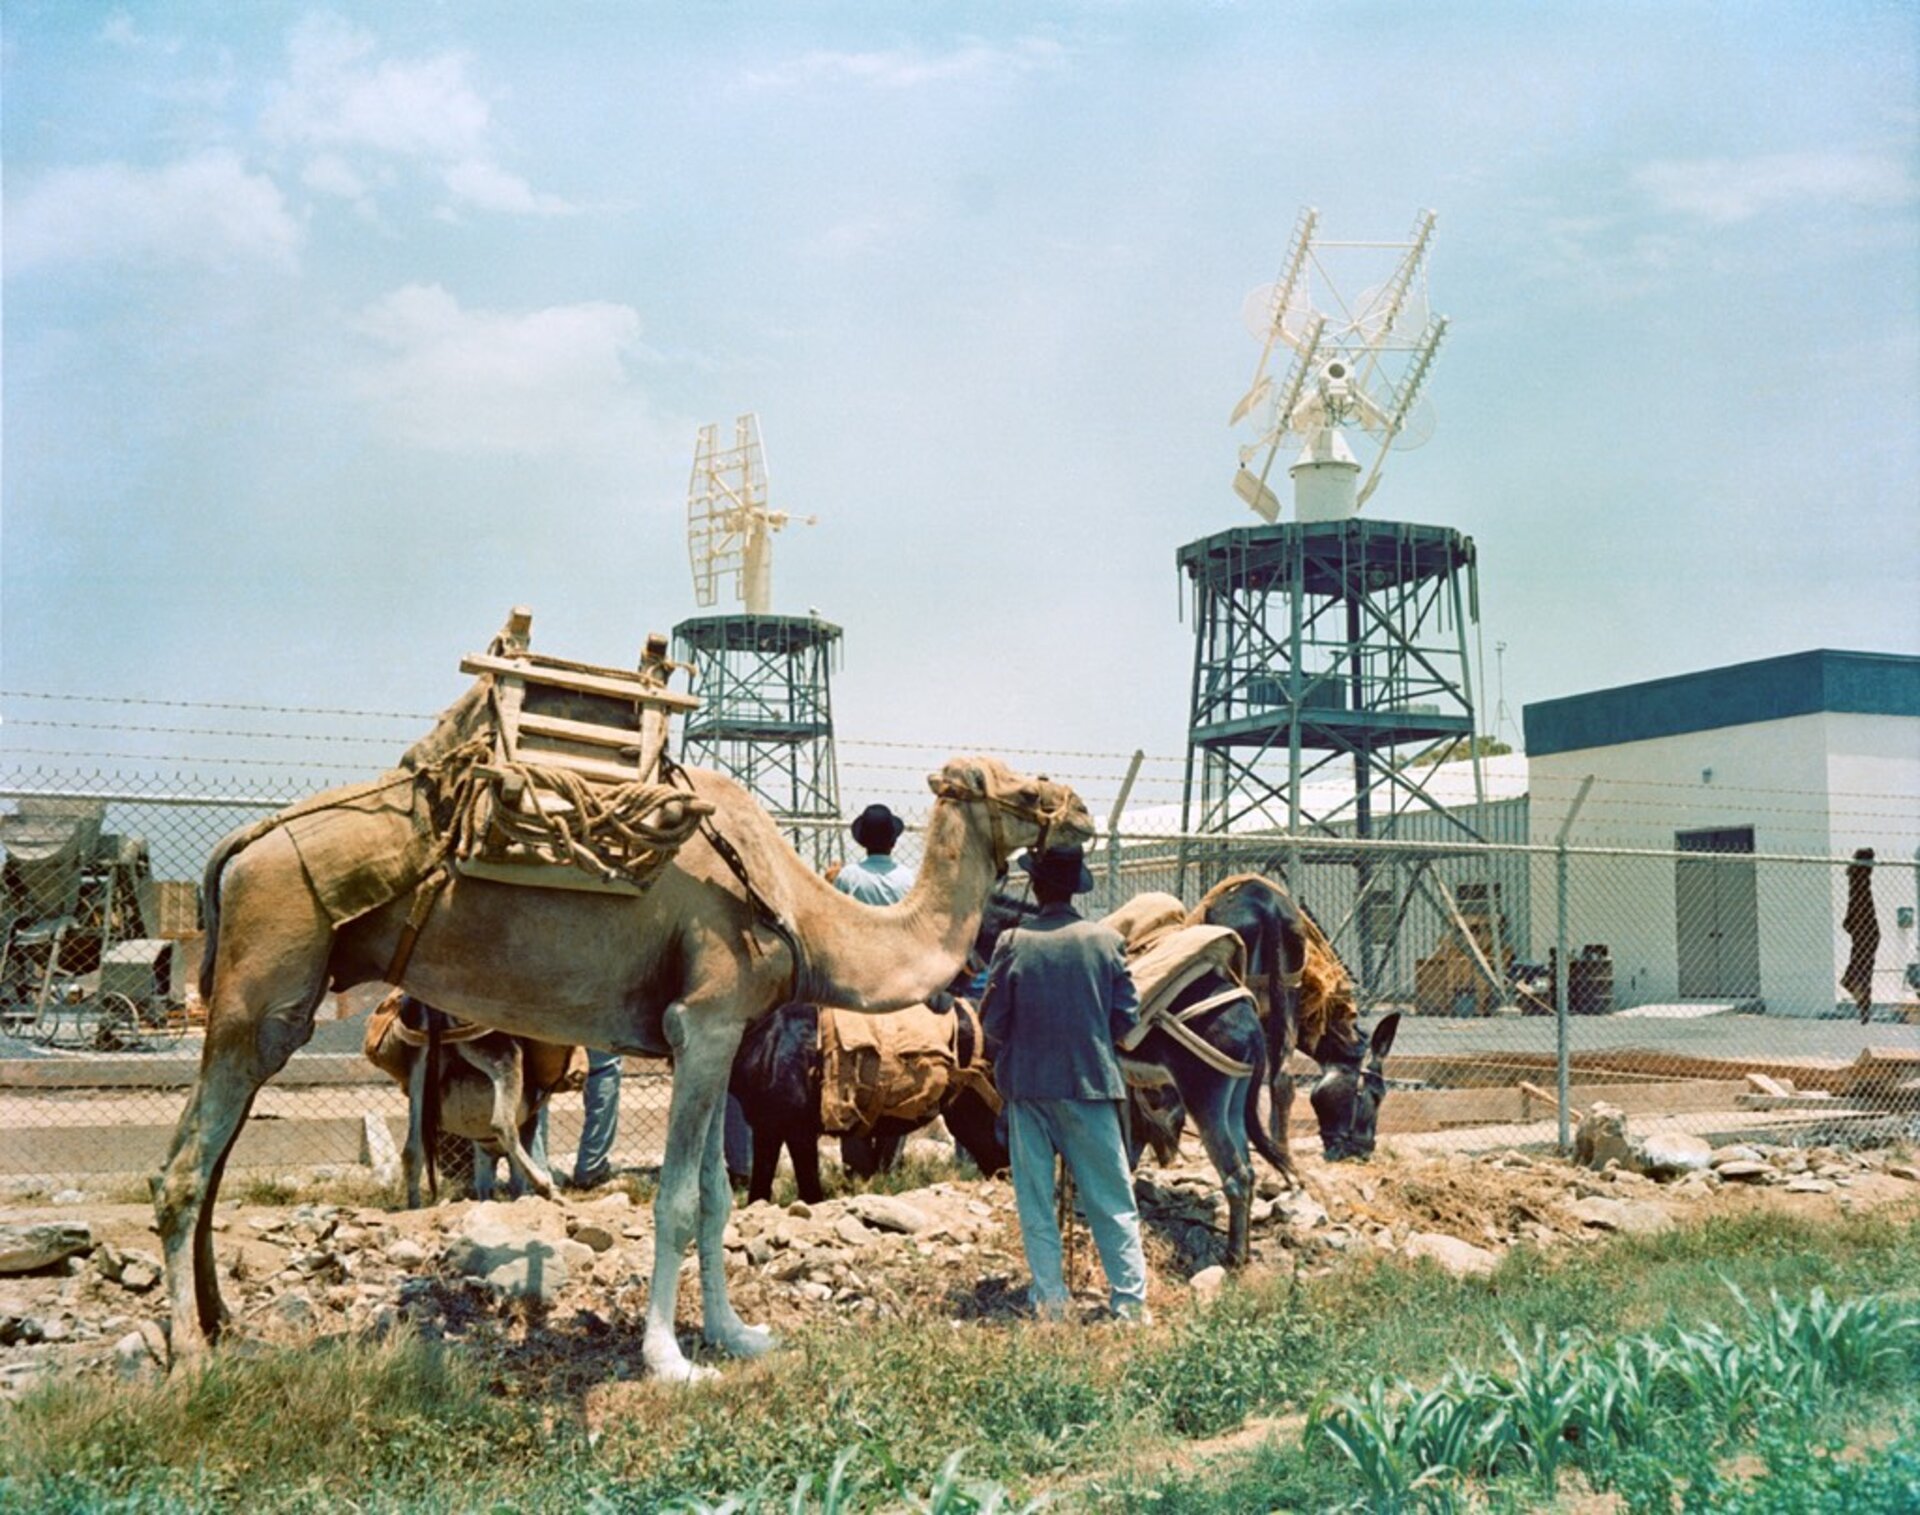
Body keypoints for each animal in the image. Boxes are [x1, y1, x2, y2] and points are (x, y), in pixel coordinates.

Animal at [153, 675, 1082, 1382]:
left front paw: (737, 1334)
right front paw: (669, 1358)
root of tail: (241, 842)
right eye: (1023, 789)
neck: (801, 908)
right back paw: (191, 1355)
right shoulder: (705, 1020)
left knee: (211, 1159)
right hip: (265, 981)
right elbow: (677, 1200)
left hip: (271, 1005)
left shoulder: (717, 1039)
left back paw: (225, 1326)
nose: (1076, 813)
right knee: (185, 1171)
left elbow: (717, 1196)